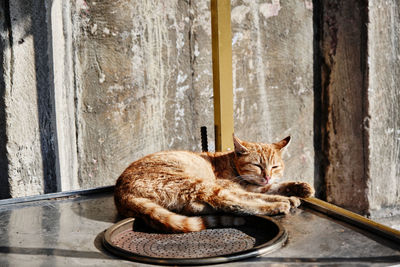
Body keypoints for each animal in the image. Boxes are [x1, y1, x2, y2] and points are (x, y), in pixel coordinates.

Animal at [114, 136, 314, 232]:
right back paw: (276, 206)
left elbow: (272, 188)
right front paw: (284, 199)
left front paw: (301, 188)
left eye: (275, 166)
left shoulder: (258, 185)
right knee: (231, 203)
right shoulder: (233, 187)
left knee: (195, 207)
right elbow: (257, 195)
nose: (267, 176)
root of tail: (121, 192)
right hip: (199, 184)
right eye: (257, 165)